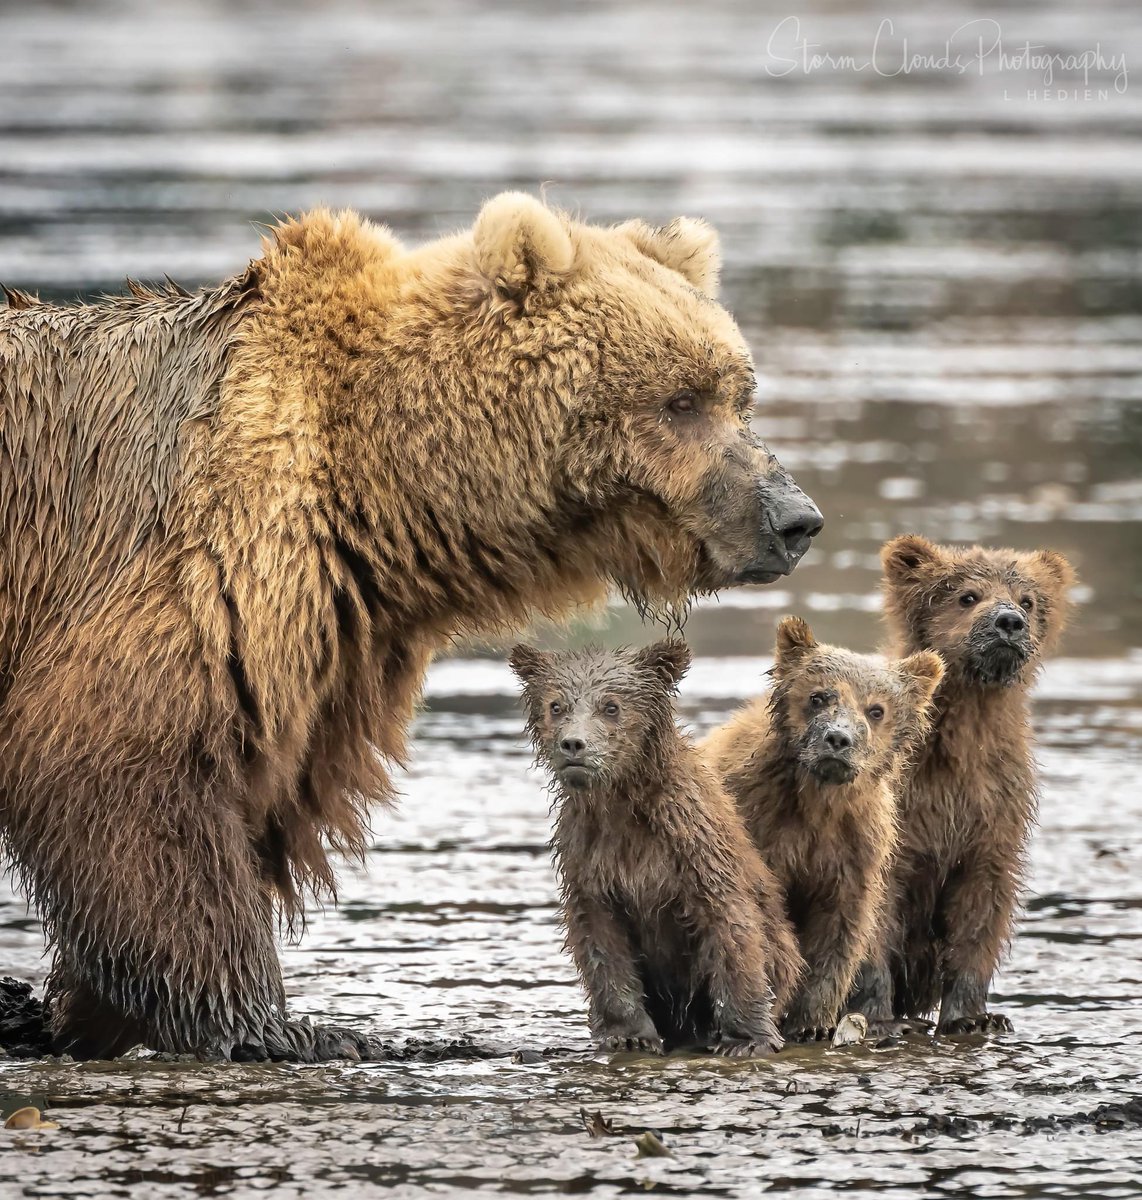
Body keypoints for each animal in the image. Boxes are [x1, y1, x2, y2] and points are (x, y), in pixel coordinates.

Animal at [509, 640, 805, 1057]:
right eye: (556, 705)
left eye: (611, 706)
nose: (574, 744)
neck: (621, 803)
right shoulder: (591, 858)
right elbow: (601, 940)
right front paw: (629, 1034)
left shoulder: (692, 849)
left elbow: (732, 928)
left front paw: (747, 1039)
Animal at [702, 616, 944, 1041]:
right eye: (818, 697)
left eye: (876, 709)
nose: (838, 738)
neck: (818, 802)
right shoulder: (759, 821)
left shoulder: (853, 848)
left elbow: (839, 928)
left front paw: (811, 1022)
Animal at [848, 536, 1075, 1035]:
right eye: (967, 595)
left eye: (1028, 600)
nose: (1009, 622)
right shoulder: (902, 813)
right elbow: (875, 909)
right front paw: (881, 1016)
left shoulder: (994, 805)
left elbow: (982, 906)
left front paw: (974, 1017)